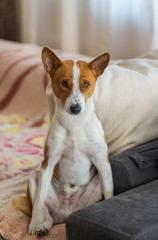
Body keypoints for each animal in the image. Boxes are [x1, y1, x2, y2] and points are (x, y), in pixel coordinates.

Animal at [15, 47, 113, 236]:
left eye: (85, 84)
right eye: (64, 83)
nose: (75, 108)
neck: (74, 124)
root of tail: (66, 215)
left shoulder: (102, 163)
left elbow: (110, 194)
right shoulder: (48, 163)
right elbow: (39, 202)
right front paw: (34, 224)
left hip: (96, 183)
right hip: (36, 177)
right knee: (46, 212)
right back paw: (43, 226)